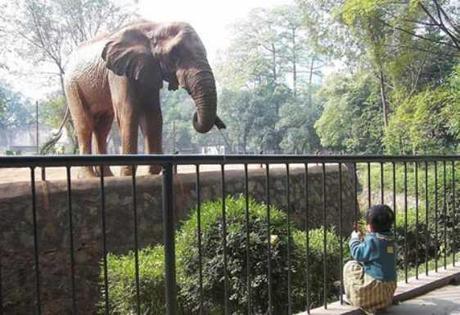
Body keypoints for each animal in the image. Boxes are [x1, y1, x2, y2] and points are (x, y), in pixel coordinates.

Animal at [63, 19, 226, 178]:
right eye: (174, 55)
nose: (221, 125)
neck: (153, 26)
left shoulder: (150, 71)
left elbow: (152, 114)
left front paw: (152, 173)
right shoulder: (117, 74)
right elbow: (127, 112)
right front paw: (127, 175)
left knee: (102, 128)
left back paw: (107, 177)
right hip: (72, 87)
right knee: (84, 125)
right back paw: (89, 177)